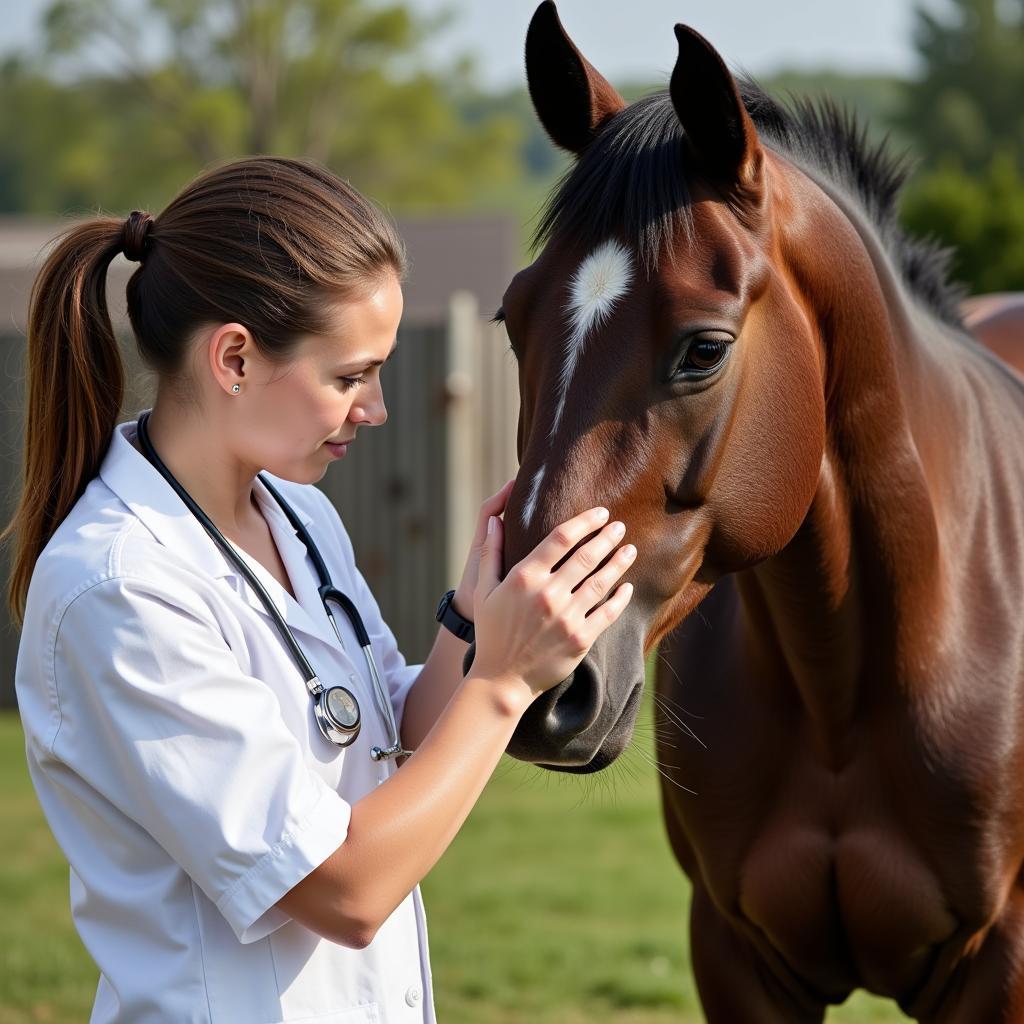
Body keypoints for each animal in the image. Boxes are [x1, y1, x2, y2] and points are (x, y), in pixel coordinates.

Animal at [491, 4, 1024, 1019]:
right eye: (511, 319)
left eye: (704, 348)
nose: (534, 683)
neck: (842, 694)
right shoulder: (736, 955)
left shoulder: (1000, 966)